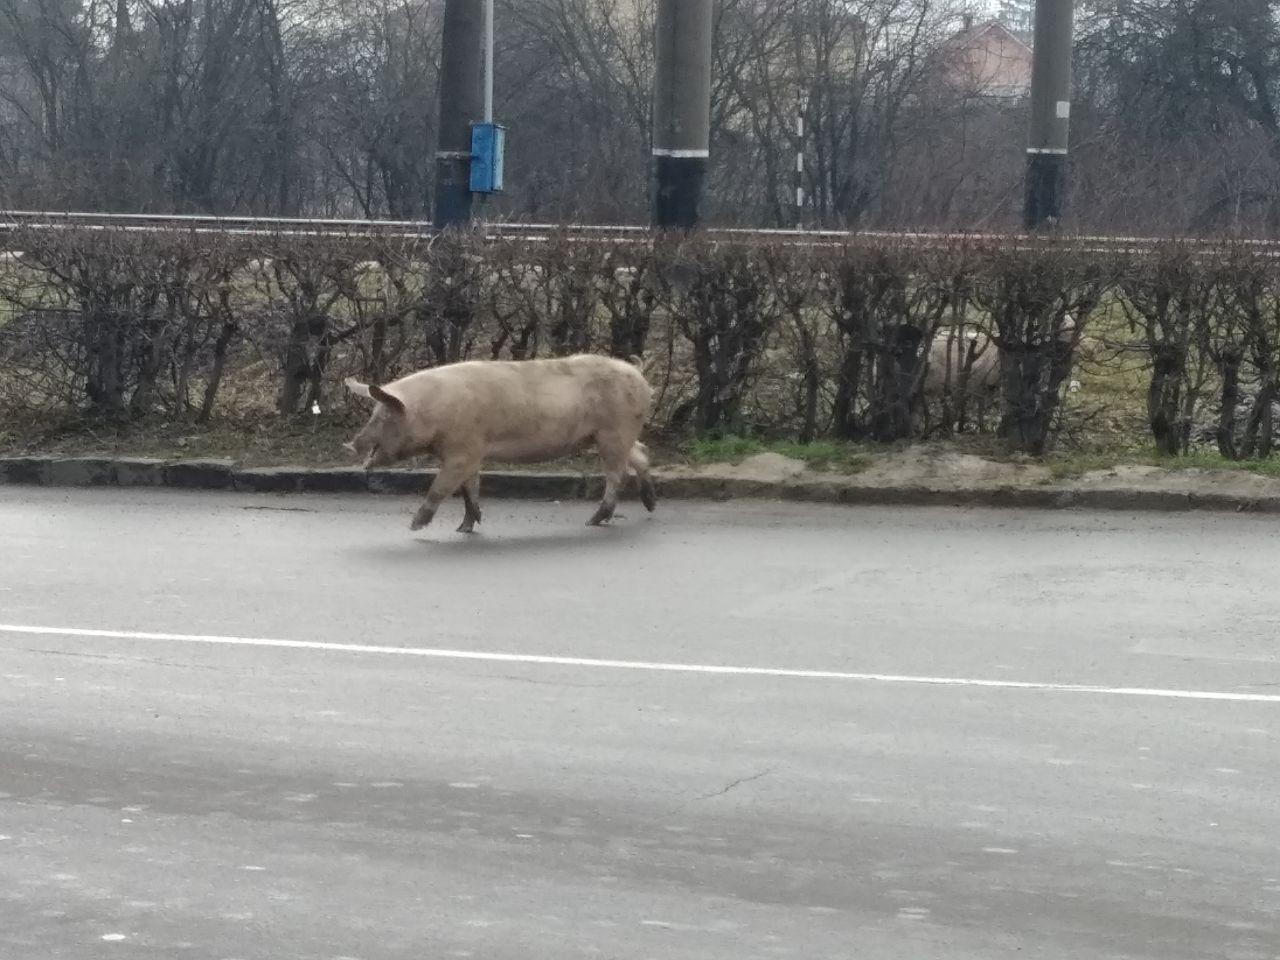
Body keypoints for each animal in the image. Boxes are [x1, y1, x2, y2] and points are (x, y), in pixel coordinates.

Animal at [345, 355, 655, 535]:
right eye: (374, 414)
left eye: (384, 417)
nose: (351, 444)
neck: (431, 411)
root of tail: (637, 371)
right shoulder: (472, 452)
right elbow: (469, 490)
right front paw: (464, 528)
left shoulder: (463, 451)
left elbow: (440, 488)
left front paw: (414, 527)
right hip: (612, 435)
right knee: (641, 454)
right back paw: (649, 505)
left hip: (614, 432)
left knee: (617, 474)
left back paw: (593, 521)